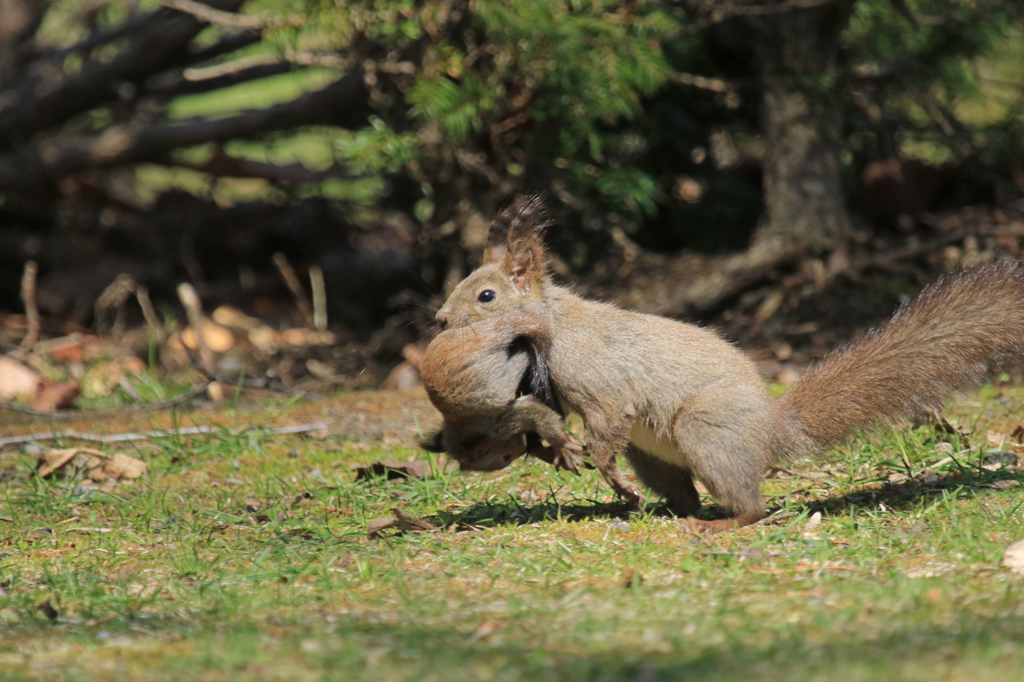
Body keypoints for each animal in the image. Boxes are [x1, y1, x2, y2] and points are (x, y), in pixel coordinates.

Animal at [419, 309, 589, 473]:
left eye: (506, 457)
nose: (522, 449)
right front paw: (547, 452)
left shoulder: (501, 421)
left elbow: (538, 414)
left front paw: (561, 447)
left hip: (500, 366)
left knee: (521, 354)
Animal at [436, 193, 1024, 528]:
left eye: (486, 296)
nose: (440, 319)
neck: (553, 324)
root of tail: (772, 429)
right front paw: (562, 452)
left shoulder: (595, 372)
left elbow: (609, 418)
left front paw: (593, 461)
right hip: (656, 457)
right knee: (685, 494)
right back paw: (658, 510)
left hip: (706, 430)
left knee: (749, 507)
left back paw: (715, 522)